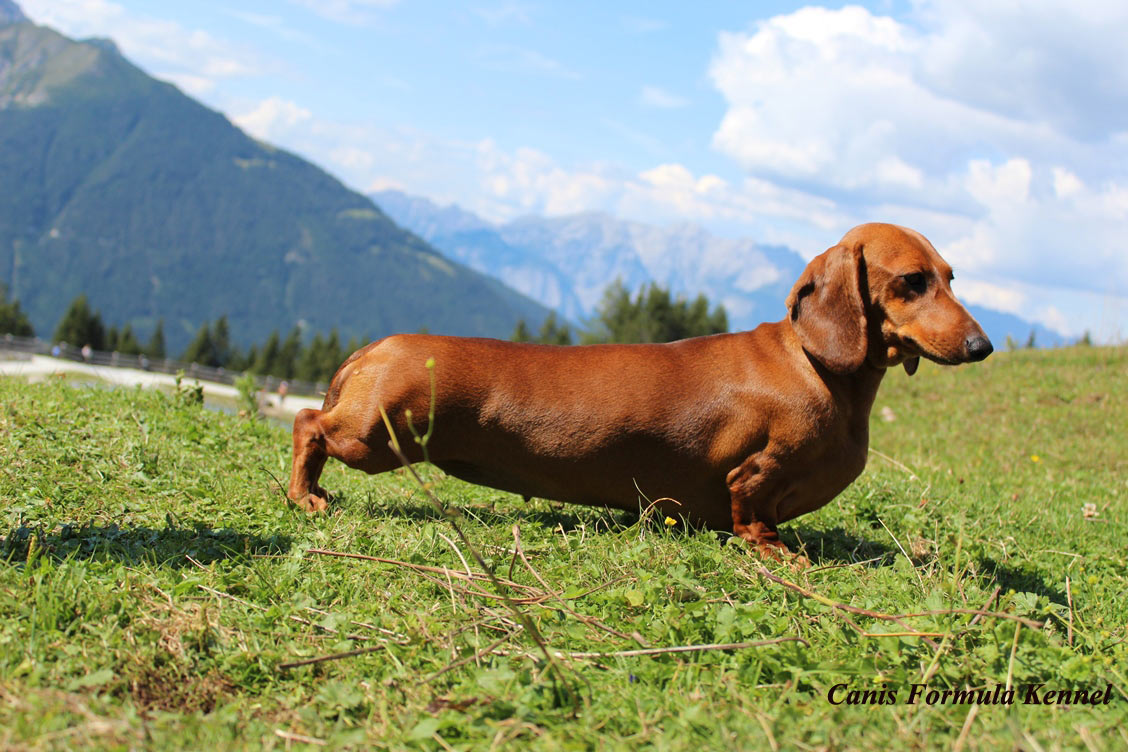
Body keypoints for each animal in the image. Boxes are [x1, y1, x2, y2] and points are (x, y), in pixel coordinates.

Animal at [288, 223, 988, 559]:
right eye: (912, 280)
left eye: (951, 276)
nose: (982, 346)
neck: (814, 366)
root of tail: (373, 348)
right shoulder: (756, 474)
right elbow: (753, 515)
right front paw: (778, 554)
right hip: (376, 437)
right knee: (306, 425)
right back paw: (306, 498)